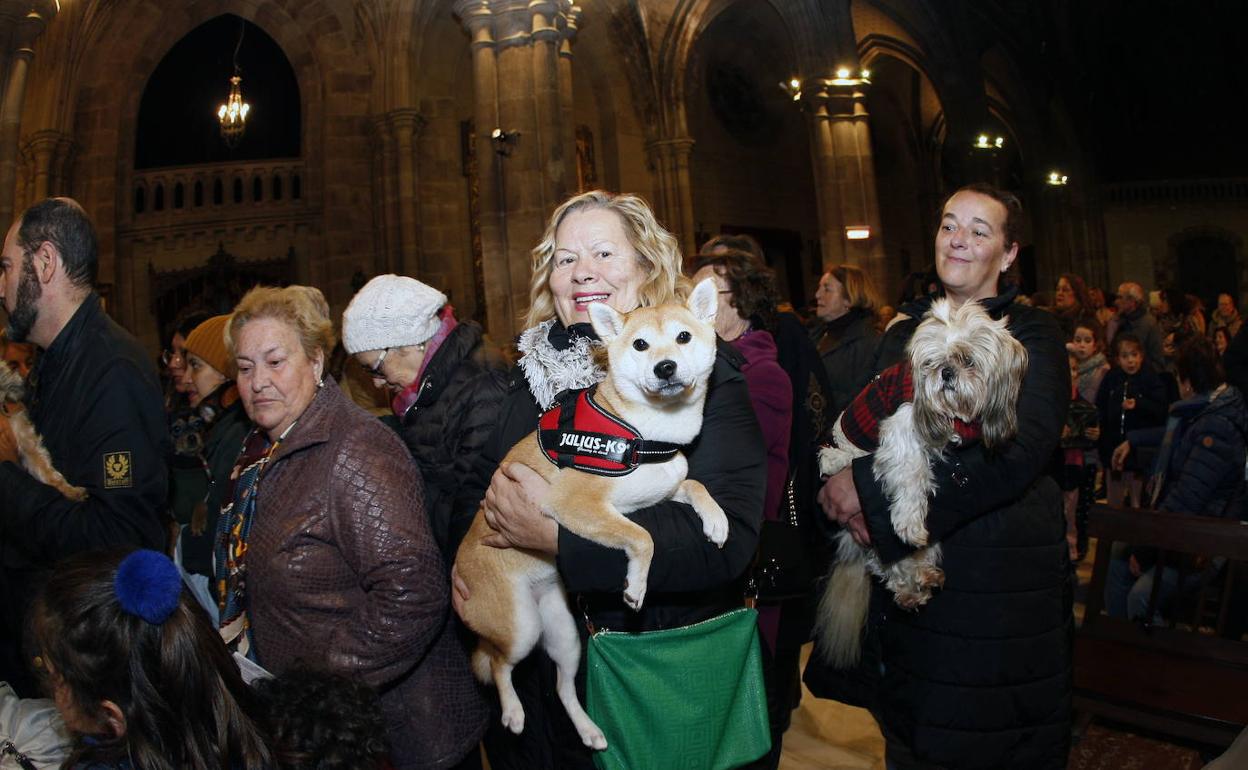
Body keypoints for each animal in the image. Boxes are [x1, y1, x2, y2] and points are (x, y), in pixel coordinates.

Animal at [454, 278, 728, 748]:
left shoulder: (661, 490)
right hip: (520, 630)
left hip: (565, 637)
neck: (643, 435)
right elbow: (643, 538)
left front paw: (715, 519)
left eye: (683, 337)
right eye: (640, 344)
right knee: (499, 664)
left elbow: (695, 485)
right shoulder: (575, 504)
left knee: (564, 688)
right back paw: (512, 711)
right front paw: (636, 586)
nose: (666, 368)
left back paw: (587, 728)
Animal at [818, 300, 1023, 668]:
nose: (946, 373)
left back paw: (920, 579)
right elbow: (912, 476)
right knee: (882, 560)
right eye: (931, 362)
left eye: (968, 360)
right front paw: (910, 523)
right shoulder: (901, 430)